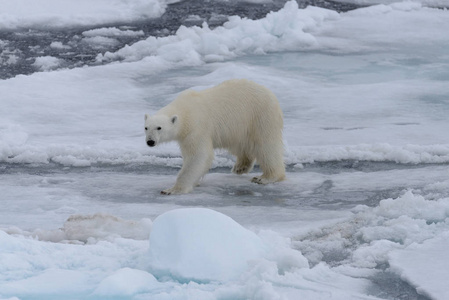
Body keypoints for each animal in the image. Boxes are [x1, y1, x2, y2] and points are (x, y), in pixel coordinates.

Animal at [145, 79, 286, 195]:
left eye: (159, 128)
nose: (150, 141)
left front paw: (172, 189)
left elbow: (199, 155)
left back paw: (265, 177)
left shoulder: (196, 128)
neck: (185, 110)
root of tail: (270, 94)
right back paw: (240, 167)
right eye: (146, 128)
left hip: (260, 117)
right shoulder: (185, 135)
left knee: (267, 147)